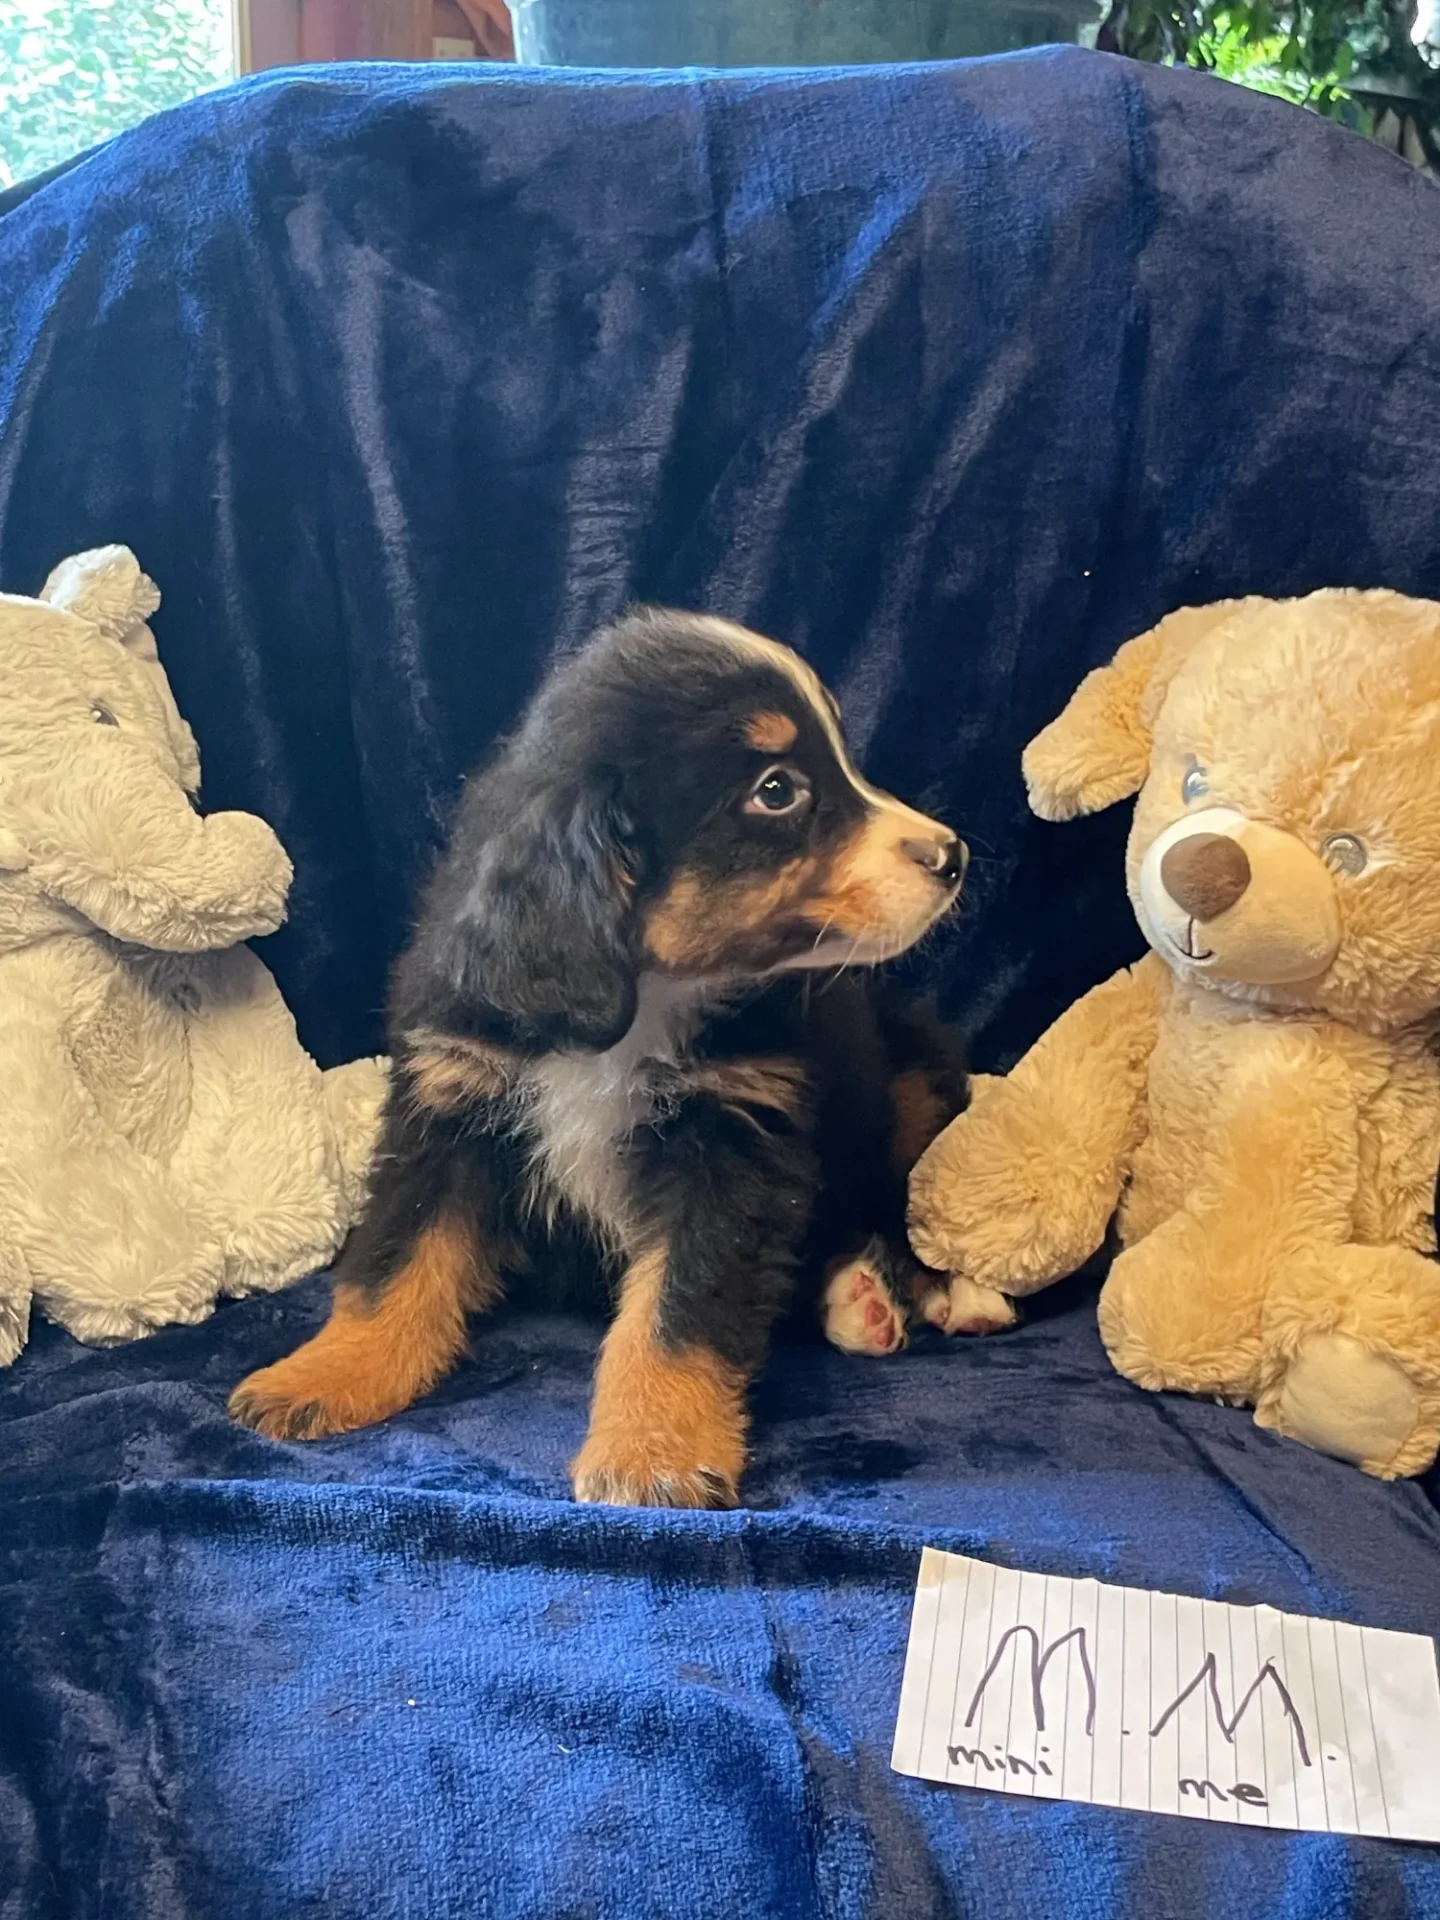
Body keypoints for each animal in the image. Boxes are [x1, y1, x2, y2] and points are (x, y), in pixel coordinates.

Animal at [234, 610, 971, 1497]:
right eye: (777, 790)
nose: (953, 854)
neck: (641, 1000)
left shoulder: (731, 1143)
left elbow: (676, 1313)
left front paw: (653, 1451)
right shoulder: (449, 1110)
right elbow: (395, 1262)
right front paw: (327, 1374)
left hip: (916, 1081)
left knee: (902, 1199)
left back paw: (929, 1293)